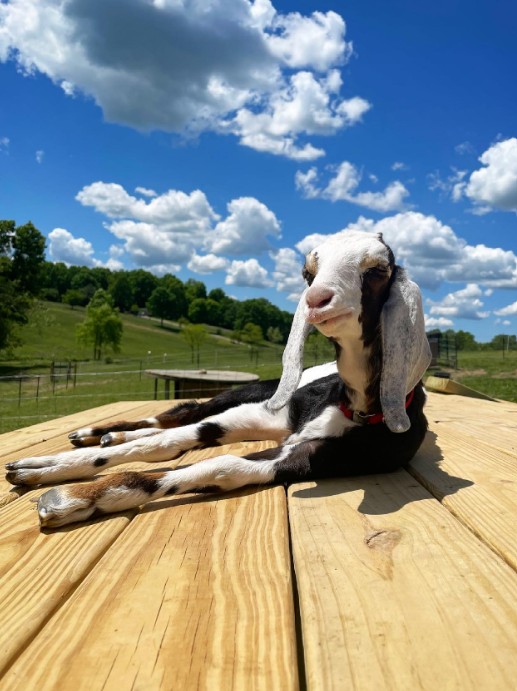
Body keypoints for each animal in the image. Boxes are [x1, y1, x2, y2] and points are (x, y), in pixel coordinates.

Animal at [5, 231, 431, 528]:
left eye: (377, 271)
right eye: (307, 273)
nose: (317, 301)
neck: (354, 406)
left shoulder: (310, 457)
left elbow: (220, 466)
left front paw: (73, 496)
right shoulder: (259, 413)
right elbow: (166, 442)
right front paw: (47, 467)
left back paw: (110, 435)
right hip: (251, 393)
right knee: (181, 412)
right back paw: (95, 433)